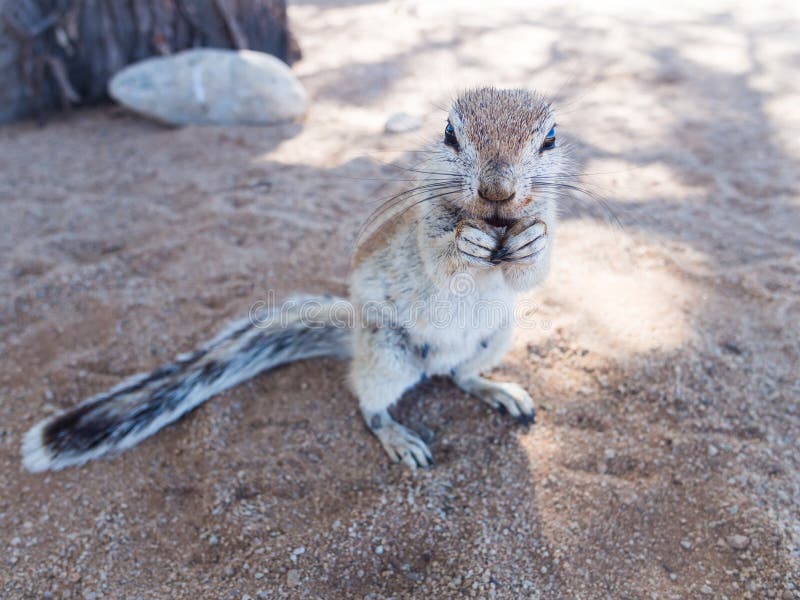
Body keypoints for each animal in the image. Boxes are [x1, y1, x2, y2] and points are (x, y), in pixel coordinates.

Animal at [22, 87, 572, 472]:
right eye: (449, 134)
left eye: (549, 137)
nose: (497, 190)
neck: (495, 224)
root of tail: (356, 337)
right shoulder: (423, 229)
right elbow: (441, 258)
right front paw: (465, 243)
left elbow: (533, 270)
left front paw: (532, 241)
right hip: (388, 358)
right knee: (370, 405)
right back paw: (397, 436)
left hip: (493, 338)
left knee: (460, 375)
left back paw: (496, 389)